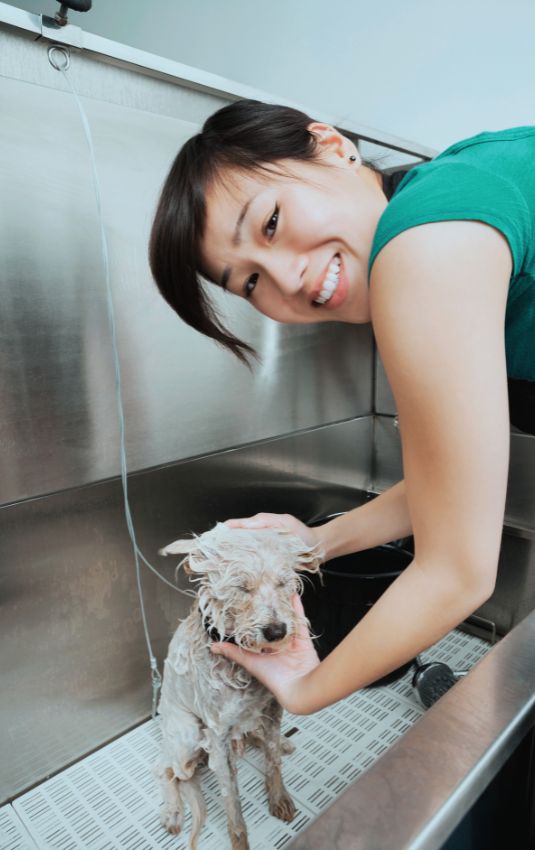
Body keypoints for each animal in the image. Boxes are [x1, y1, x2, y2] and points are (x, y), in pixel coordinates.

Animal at [155, 524, 322, 848]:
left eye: (283, 583)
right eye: (241, 587)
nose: (276, 631)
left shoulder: (273, 710)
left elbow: (272, 759)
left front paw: (279, 798)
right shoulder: (218, 738)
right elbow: (232, 803)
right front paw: (240, 841)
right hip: (188, 736)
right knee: (167, 769)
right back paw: (172, 812)